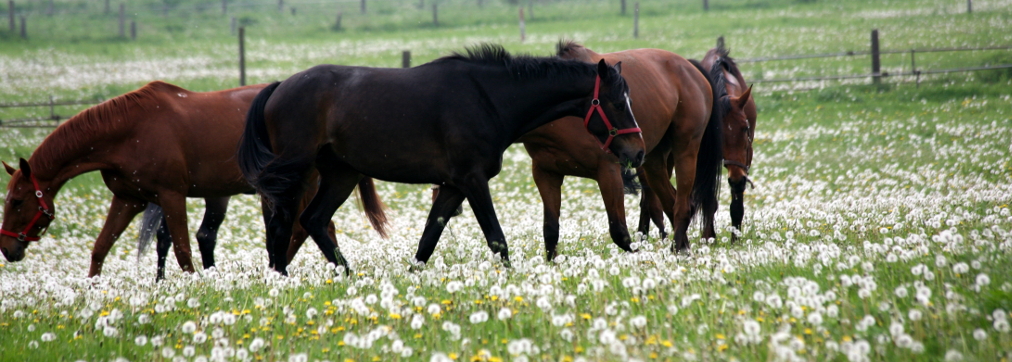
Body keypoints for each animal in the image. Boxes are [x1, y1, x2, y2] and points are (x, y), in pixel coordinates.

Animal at [0, 80, 386, 279]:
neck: (130, 131)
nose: (7, 249)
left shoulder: (171, 196)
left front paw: (192, 285)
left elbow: (182, 249)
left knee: (307, 227)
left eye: (18, 201)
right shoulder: (129, 200)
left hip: (297, 187)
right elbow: (101, 246)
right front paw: (93, 289)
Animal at [237, 43, 643, 275]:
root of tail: (278, 88)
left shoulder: (452, 186)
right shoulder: (472, 181)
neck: (489, 98)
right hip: (297, 173)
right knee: (282, 226)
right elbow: (497, 239)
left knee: (313, 221)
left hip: (341, 175)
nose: (637, 151)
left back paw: (347, 276)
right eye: (614, 102)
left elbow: (427, 241)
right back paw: (282, 279)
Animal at [518, 40, 724, 258]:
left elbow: (619, 231)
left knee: (682, 206)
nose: (637, 151)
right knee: (670, 202)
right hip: (653, 163)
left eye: (623, 104)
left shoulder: (608, 172)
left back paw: (679, 249)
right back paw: (681, 247)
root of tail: (690, 66)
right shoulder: (546, 174)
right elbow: (550, 231)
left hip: (685, 150)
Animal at [635, 46, 756, 243]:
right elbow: (708, 199)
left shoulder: (746, 155)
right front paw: (708, 236)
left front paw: (735, 237)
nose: (736, 179)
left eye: (745, 128)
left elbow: (736, 201)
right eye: (718, 135)